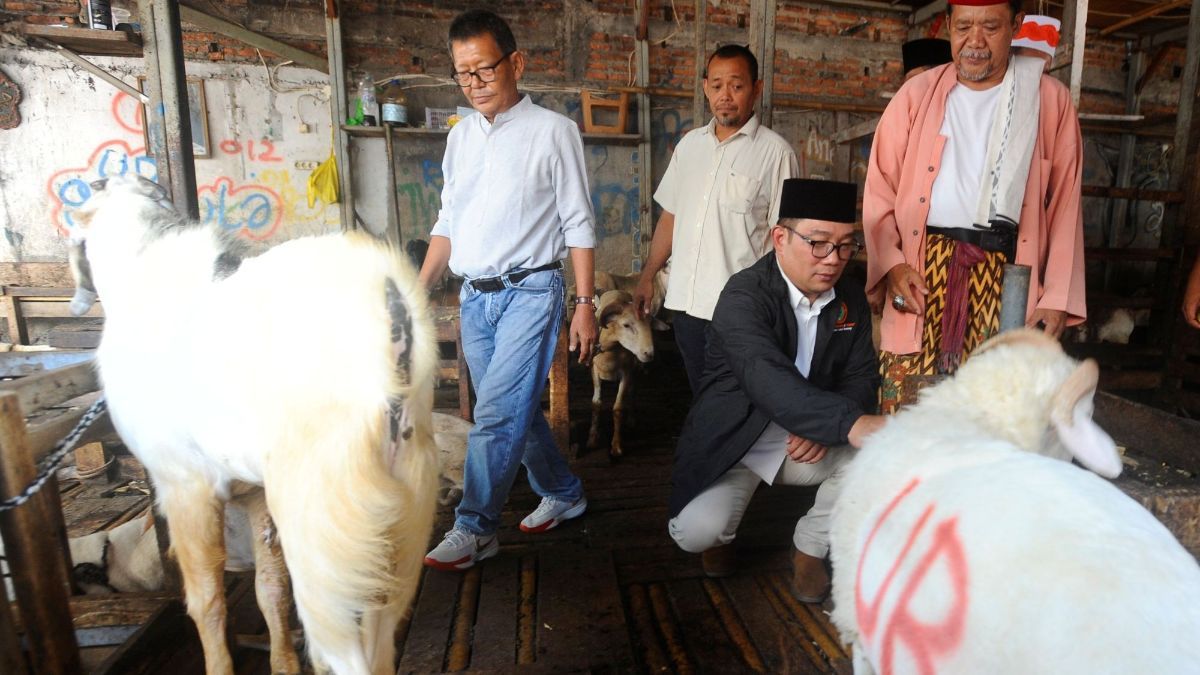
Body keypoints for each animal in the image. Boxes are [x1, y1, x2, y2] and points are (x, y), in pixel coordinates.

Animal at [585, 285, 652, 454]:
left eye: (650, 326)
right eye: (626, 325)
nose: (649, 353)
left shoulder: (626, 373)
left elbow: (618, 408)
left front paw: (616, 445)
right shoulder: (594, 370)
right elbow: (596, 404)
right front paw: (592, 439)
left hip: (635, 369)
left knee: (633, 391)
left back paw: (632, 419)